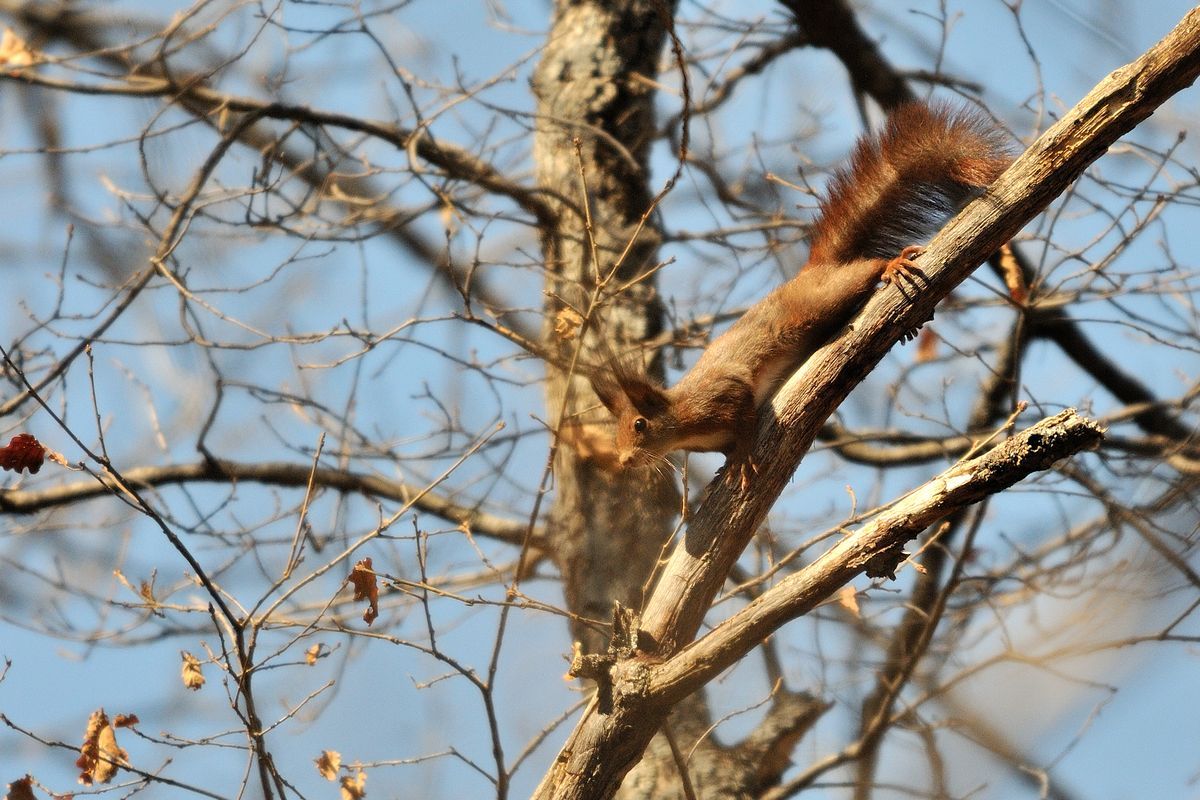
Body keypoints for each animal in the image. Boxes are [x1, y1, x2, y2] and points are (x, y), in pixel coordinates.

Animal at [590, 101, 1010, 487]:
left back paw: (891, 267)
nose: (624, 460)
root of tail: (812, 271)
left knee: (866, 270)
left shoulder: (720, 396)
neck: (681, 417)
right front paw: (728, 461)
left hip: (827, 297)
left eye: (640, 424)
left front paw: (743, 455)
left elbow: (743, 411)